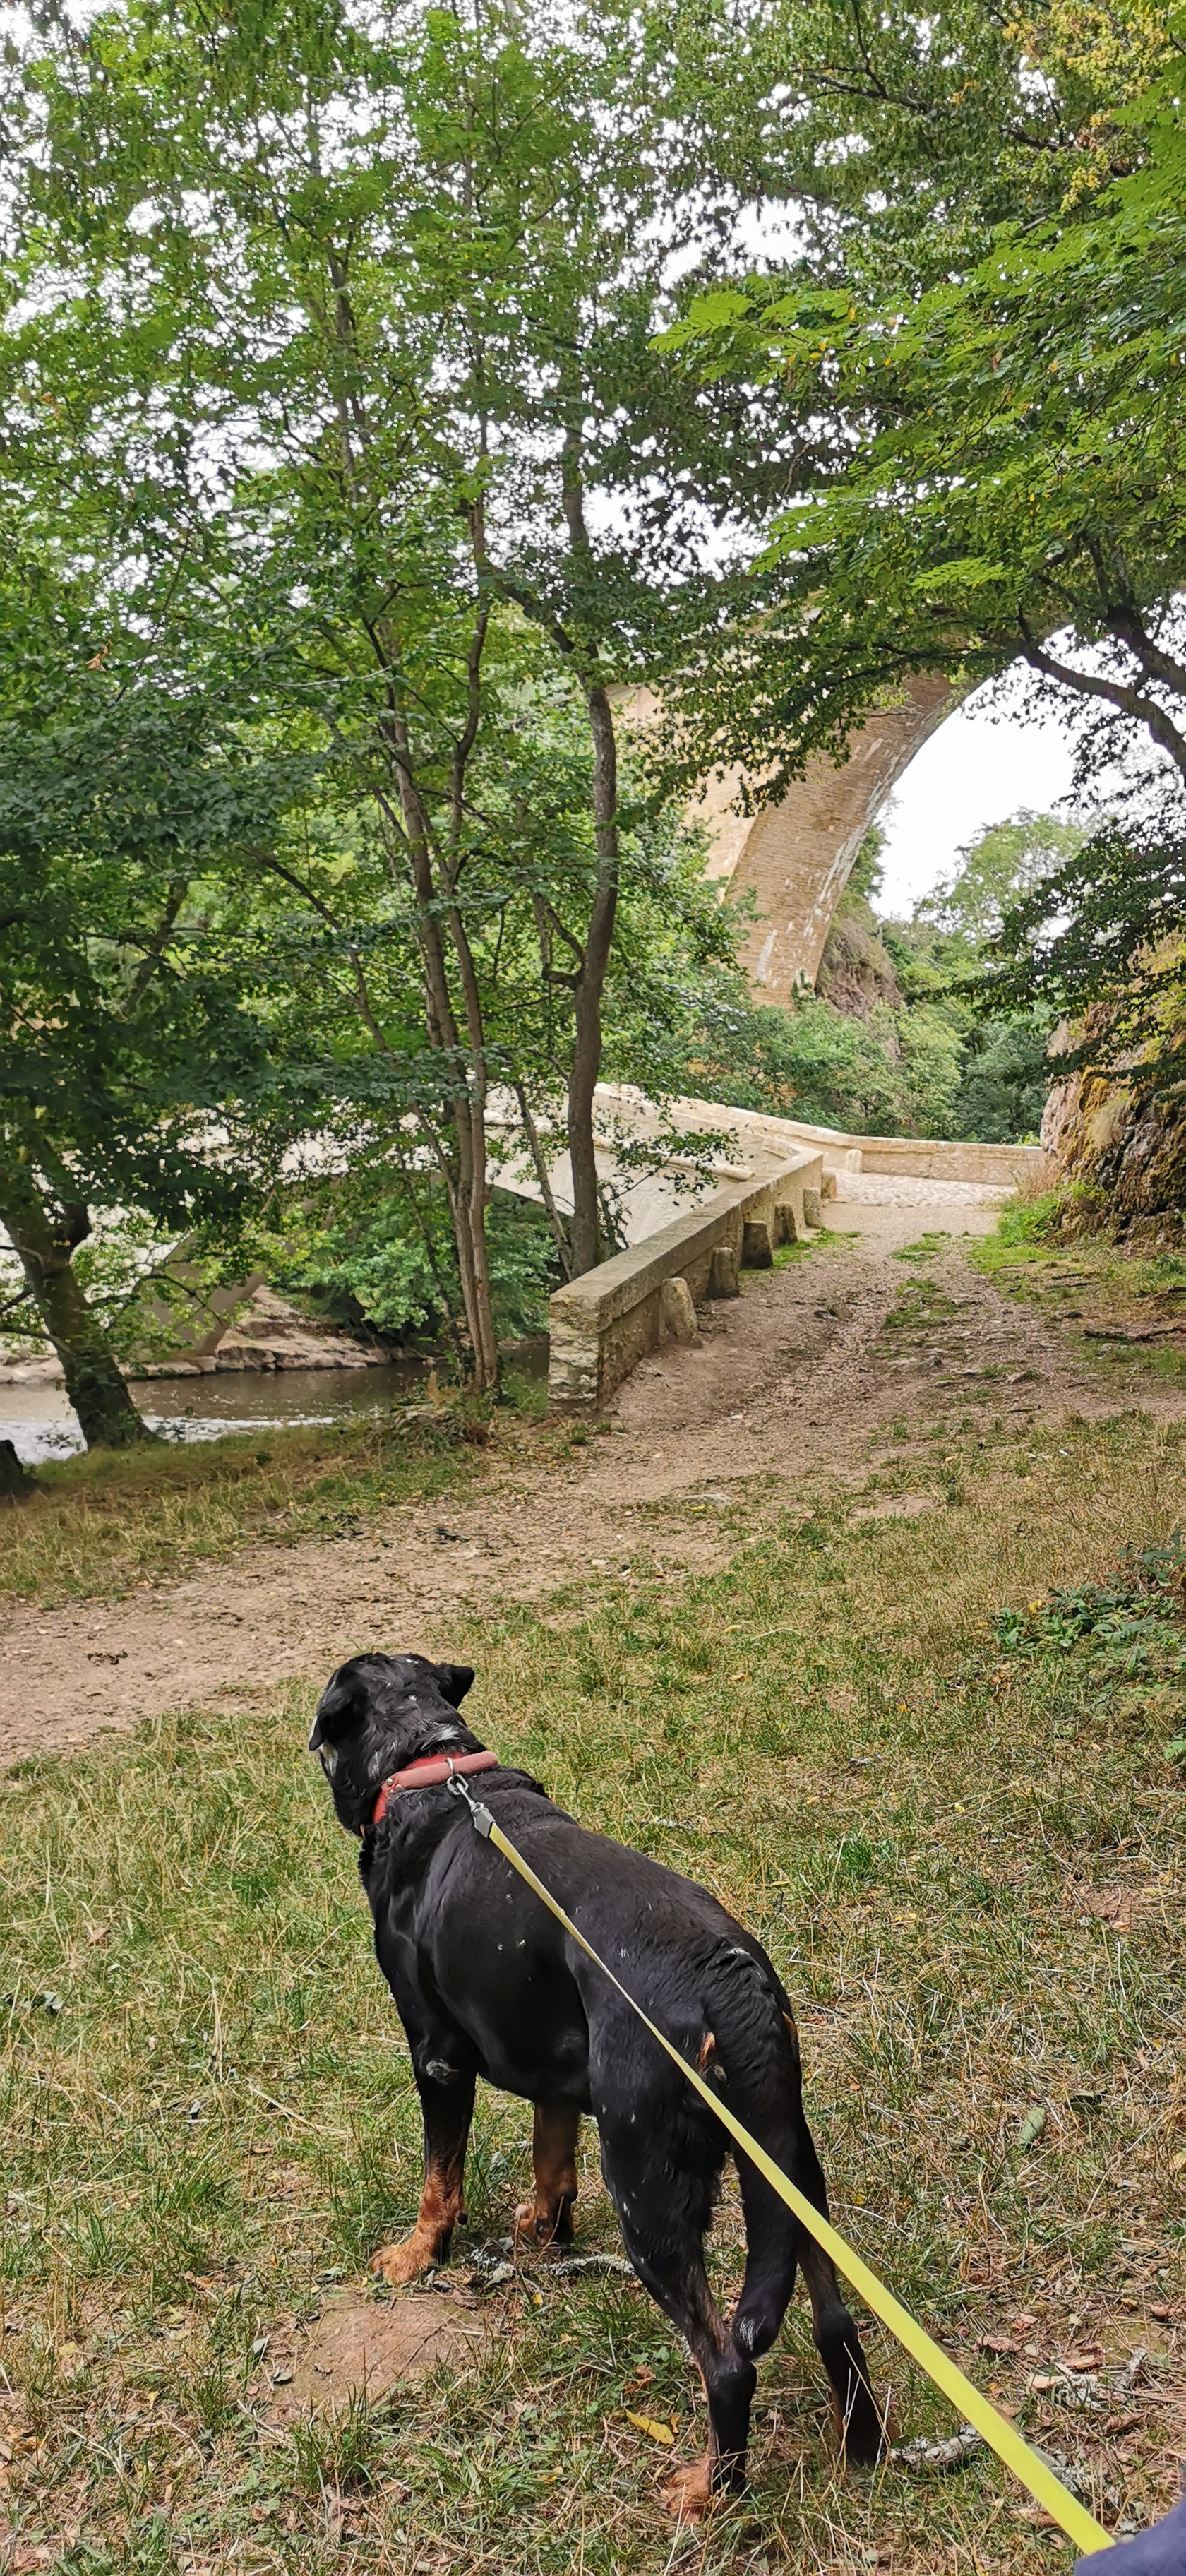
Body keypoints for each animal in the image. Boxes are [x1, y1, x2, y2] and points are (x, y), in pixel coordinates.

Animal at [310, 1650, 884, 2515]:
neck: (428, 1767)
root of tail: (729, 1979)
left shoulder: (436, 2056)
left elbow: (439, 2178)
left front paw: (417, 2255)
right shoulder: (553, 2069)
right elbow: (550, 2160)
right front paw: (544, 2232)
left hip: (648, 2188)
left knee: (727, 2363)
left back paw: (707, 2493)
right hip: (790, 2171)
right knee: (835, 2323)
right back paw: (864, 2450)